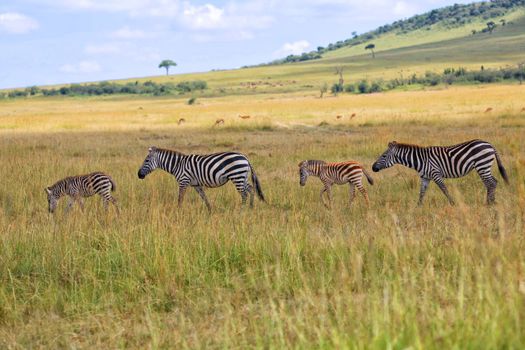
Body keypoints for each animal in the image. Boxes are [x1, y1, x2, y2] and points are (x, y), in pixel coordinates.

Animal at [370, 139, 506, 205]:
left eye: (384, 156)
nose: (372, 168)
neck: (420, 160)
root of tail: (489, 144)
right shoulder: (425, 177)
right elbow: (422, 192)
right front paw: (418, 206)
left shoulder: (435, 174)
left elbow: (444, 189)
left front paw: (453, 203)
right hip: (483, 166)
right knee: (493, 182)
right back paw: (491, 202)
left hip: (482, 165)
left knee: (491, 183)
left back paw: (489, 203)